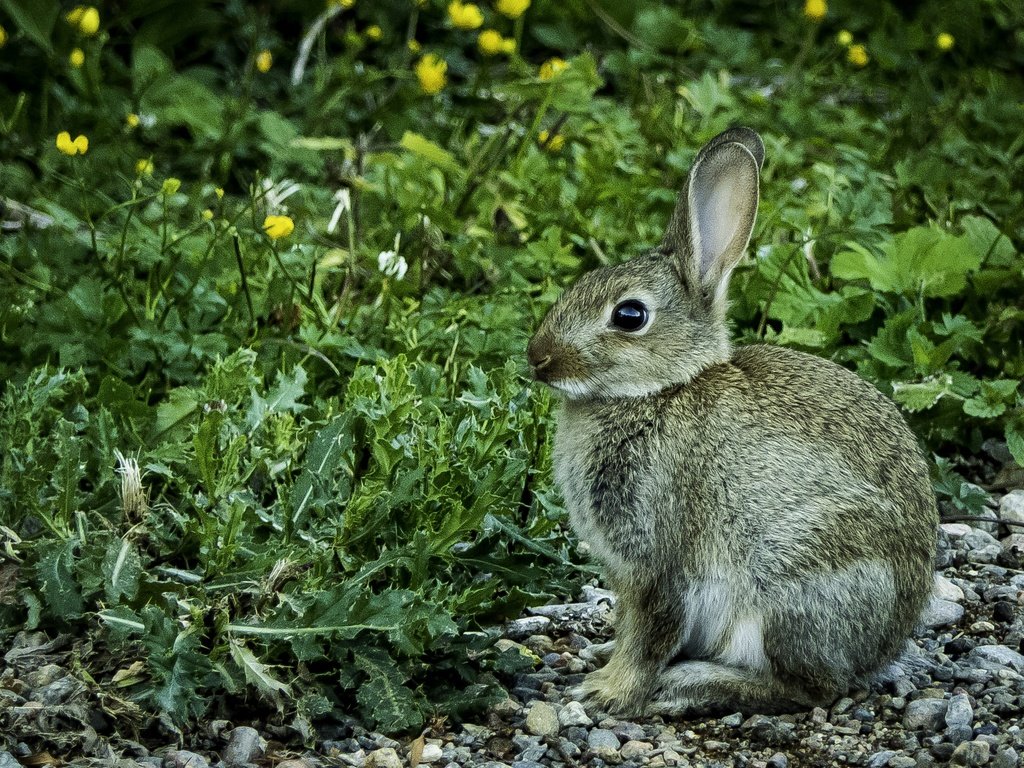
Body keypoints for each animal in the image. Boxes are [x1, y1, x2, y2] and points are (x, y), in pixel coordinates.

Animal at [528, 129, 937, 720]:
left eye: (629, 316)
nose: (537, 358)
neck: (660, 391)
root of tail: (885, 644)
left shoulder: (660, 562)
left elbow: (650, 632)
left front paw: (608, 692)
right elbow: (630, 627)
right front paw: (605, 666)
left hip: (791, 593)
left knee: (810, 689)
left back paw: (691, 685)